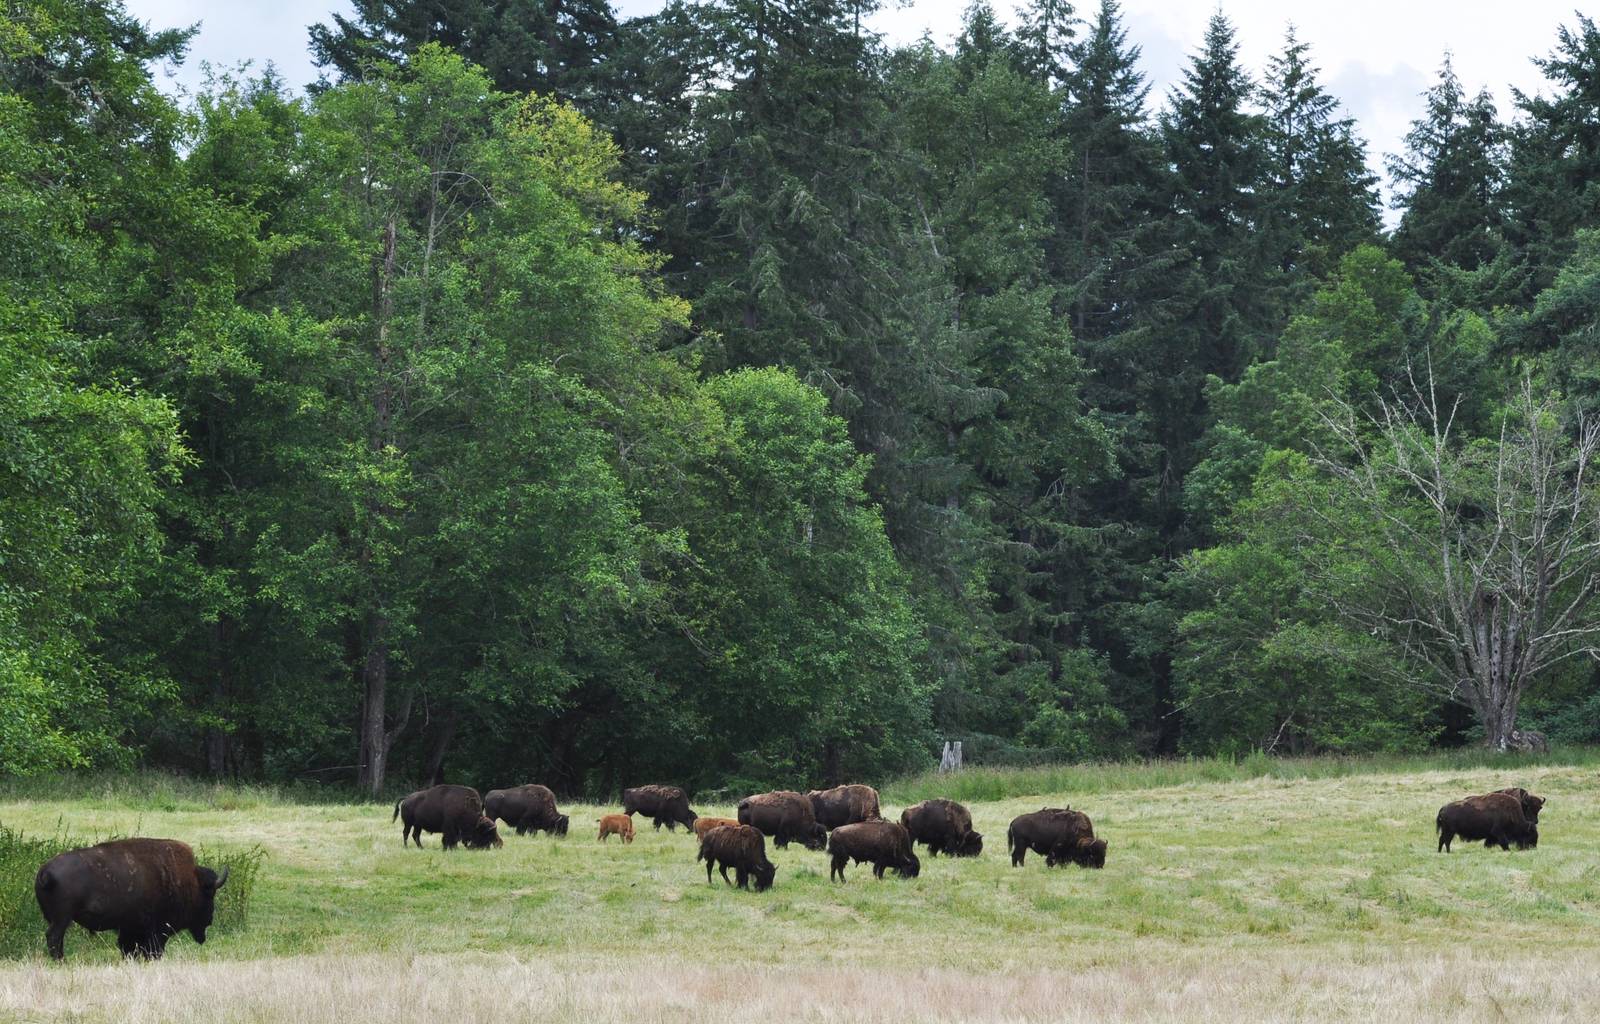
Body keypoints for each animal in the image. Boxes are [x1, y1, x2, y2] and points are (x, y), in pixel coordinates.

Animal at [35, 838, 229, 960]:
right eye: (210, 894)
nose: (210, 920)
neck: (189, 880)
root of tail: (45, 871)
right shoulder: (156, 930)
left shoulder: (130, 928)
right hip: (62, 919)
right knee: (54, 937)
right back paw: (61, 961)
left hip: (57, 919)